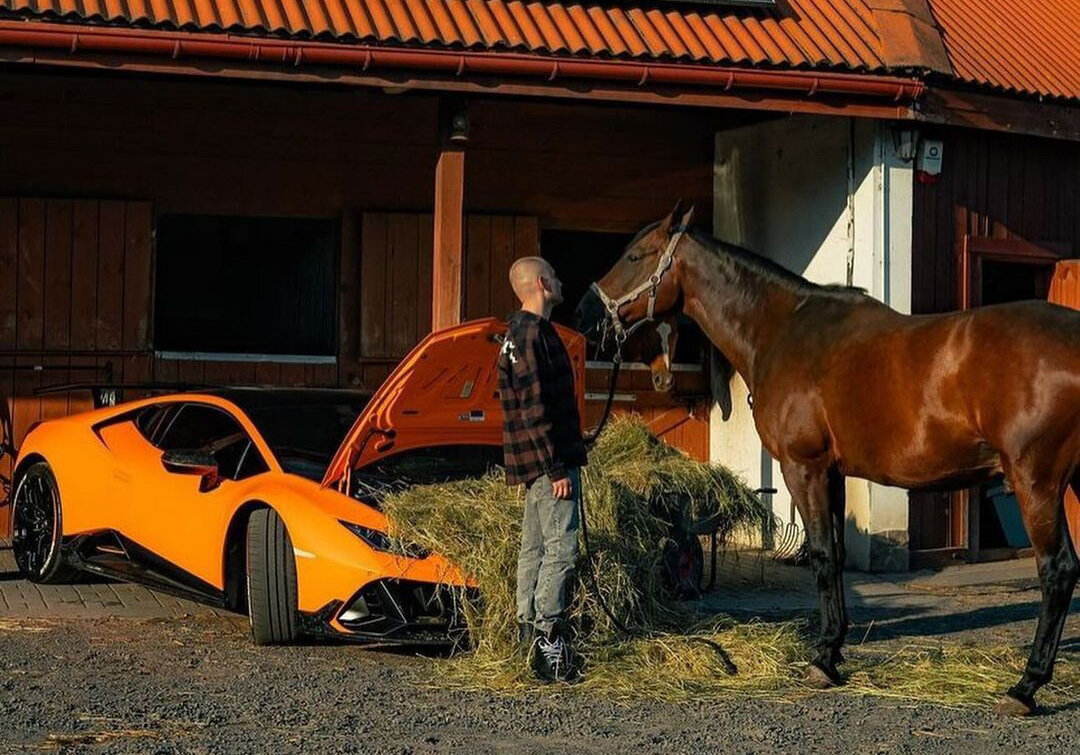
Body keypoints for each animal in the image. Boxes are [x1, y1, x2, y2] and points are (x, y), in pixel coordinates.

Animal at [578, 200, 1080, 712]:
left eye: (635, 256)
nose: (583, 313)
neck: (780, 329)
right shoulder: (834, 474)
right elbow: (836, 555)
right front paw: (834, 649)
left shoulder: (805, 468)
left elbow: (820, 555)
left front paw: (822, 660)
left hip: (1036, 482)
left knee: (1058, 570)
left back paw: (1025, 687)